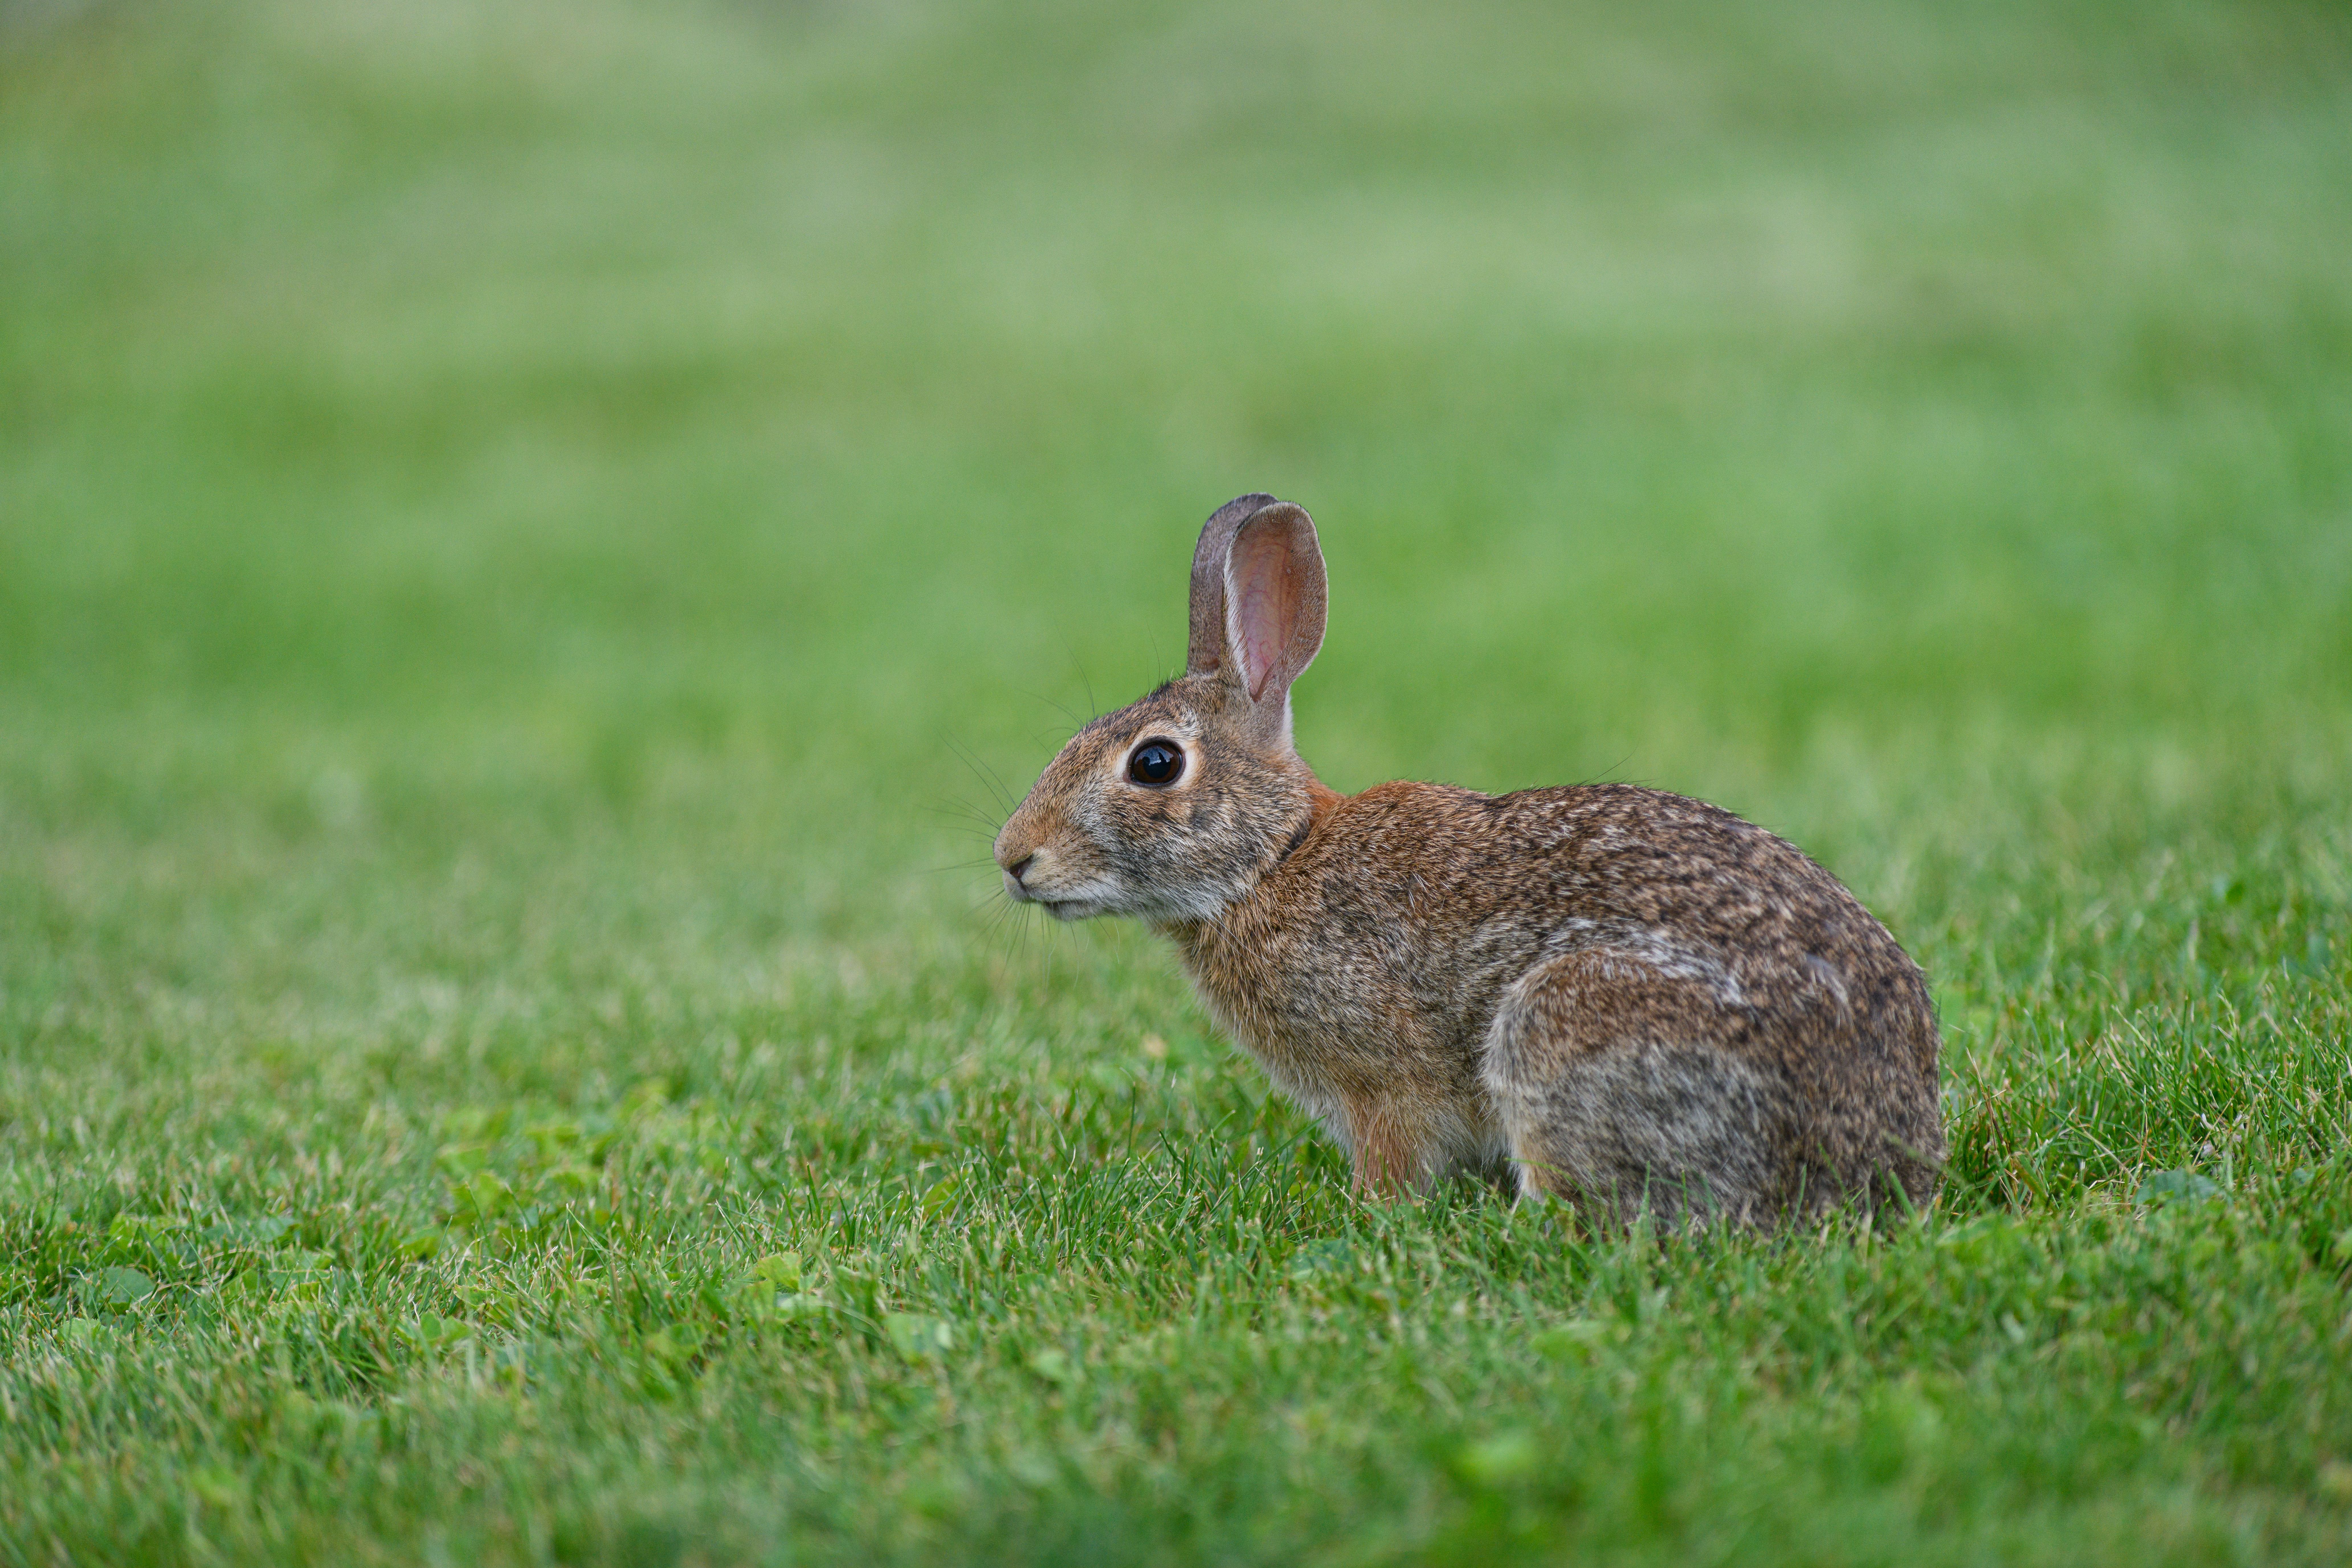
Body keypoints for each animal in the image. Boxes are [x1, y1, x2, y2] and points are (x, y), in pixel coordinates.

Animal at [992, 493, 1944, 1227]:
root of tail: (1879, 1159)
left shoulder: (1383, 1079)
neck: (1271, 861)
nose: (1013, 858)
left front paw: (1368, 1214)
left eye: (1154, 763)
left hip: (1562, 1030)